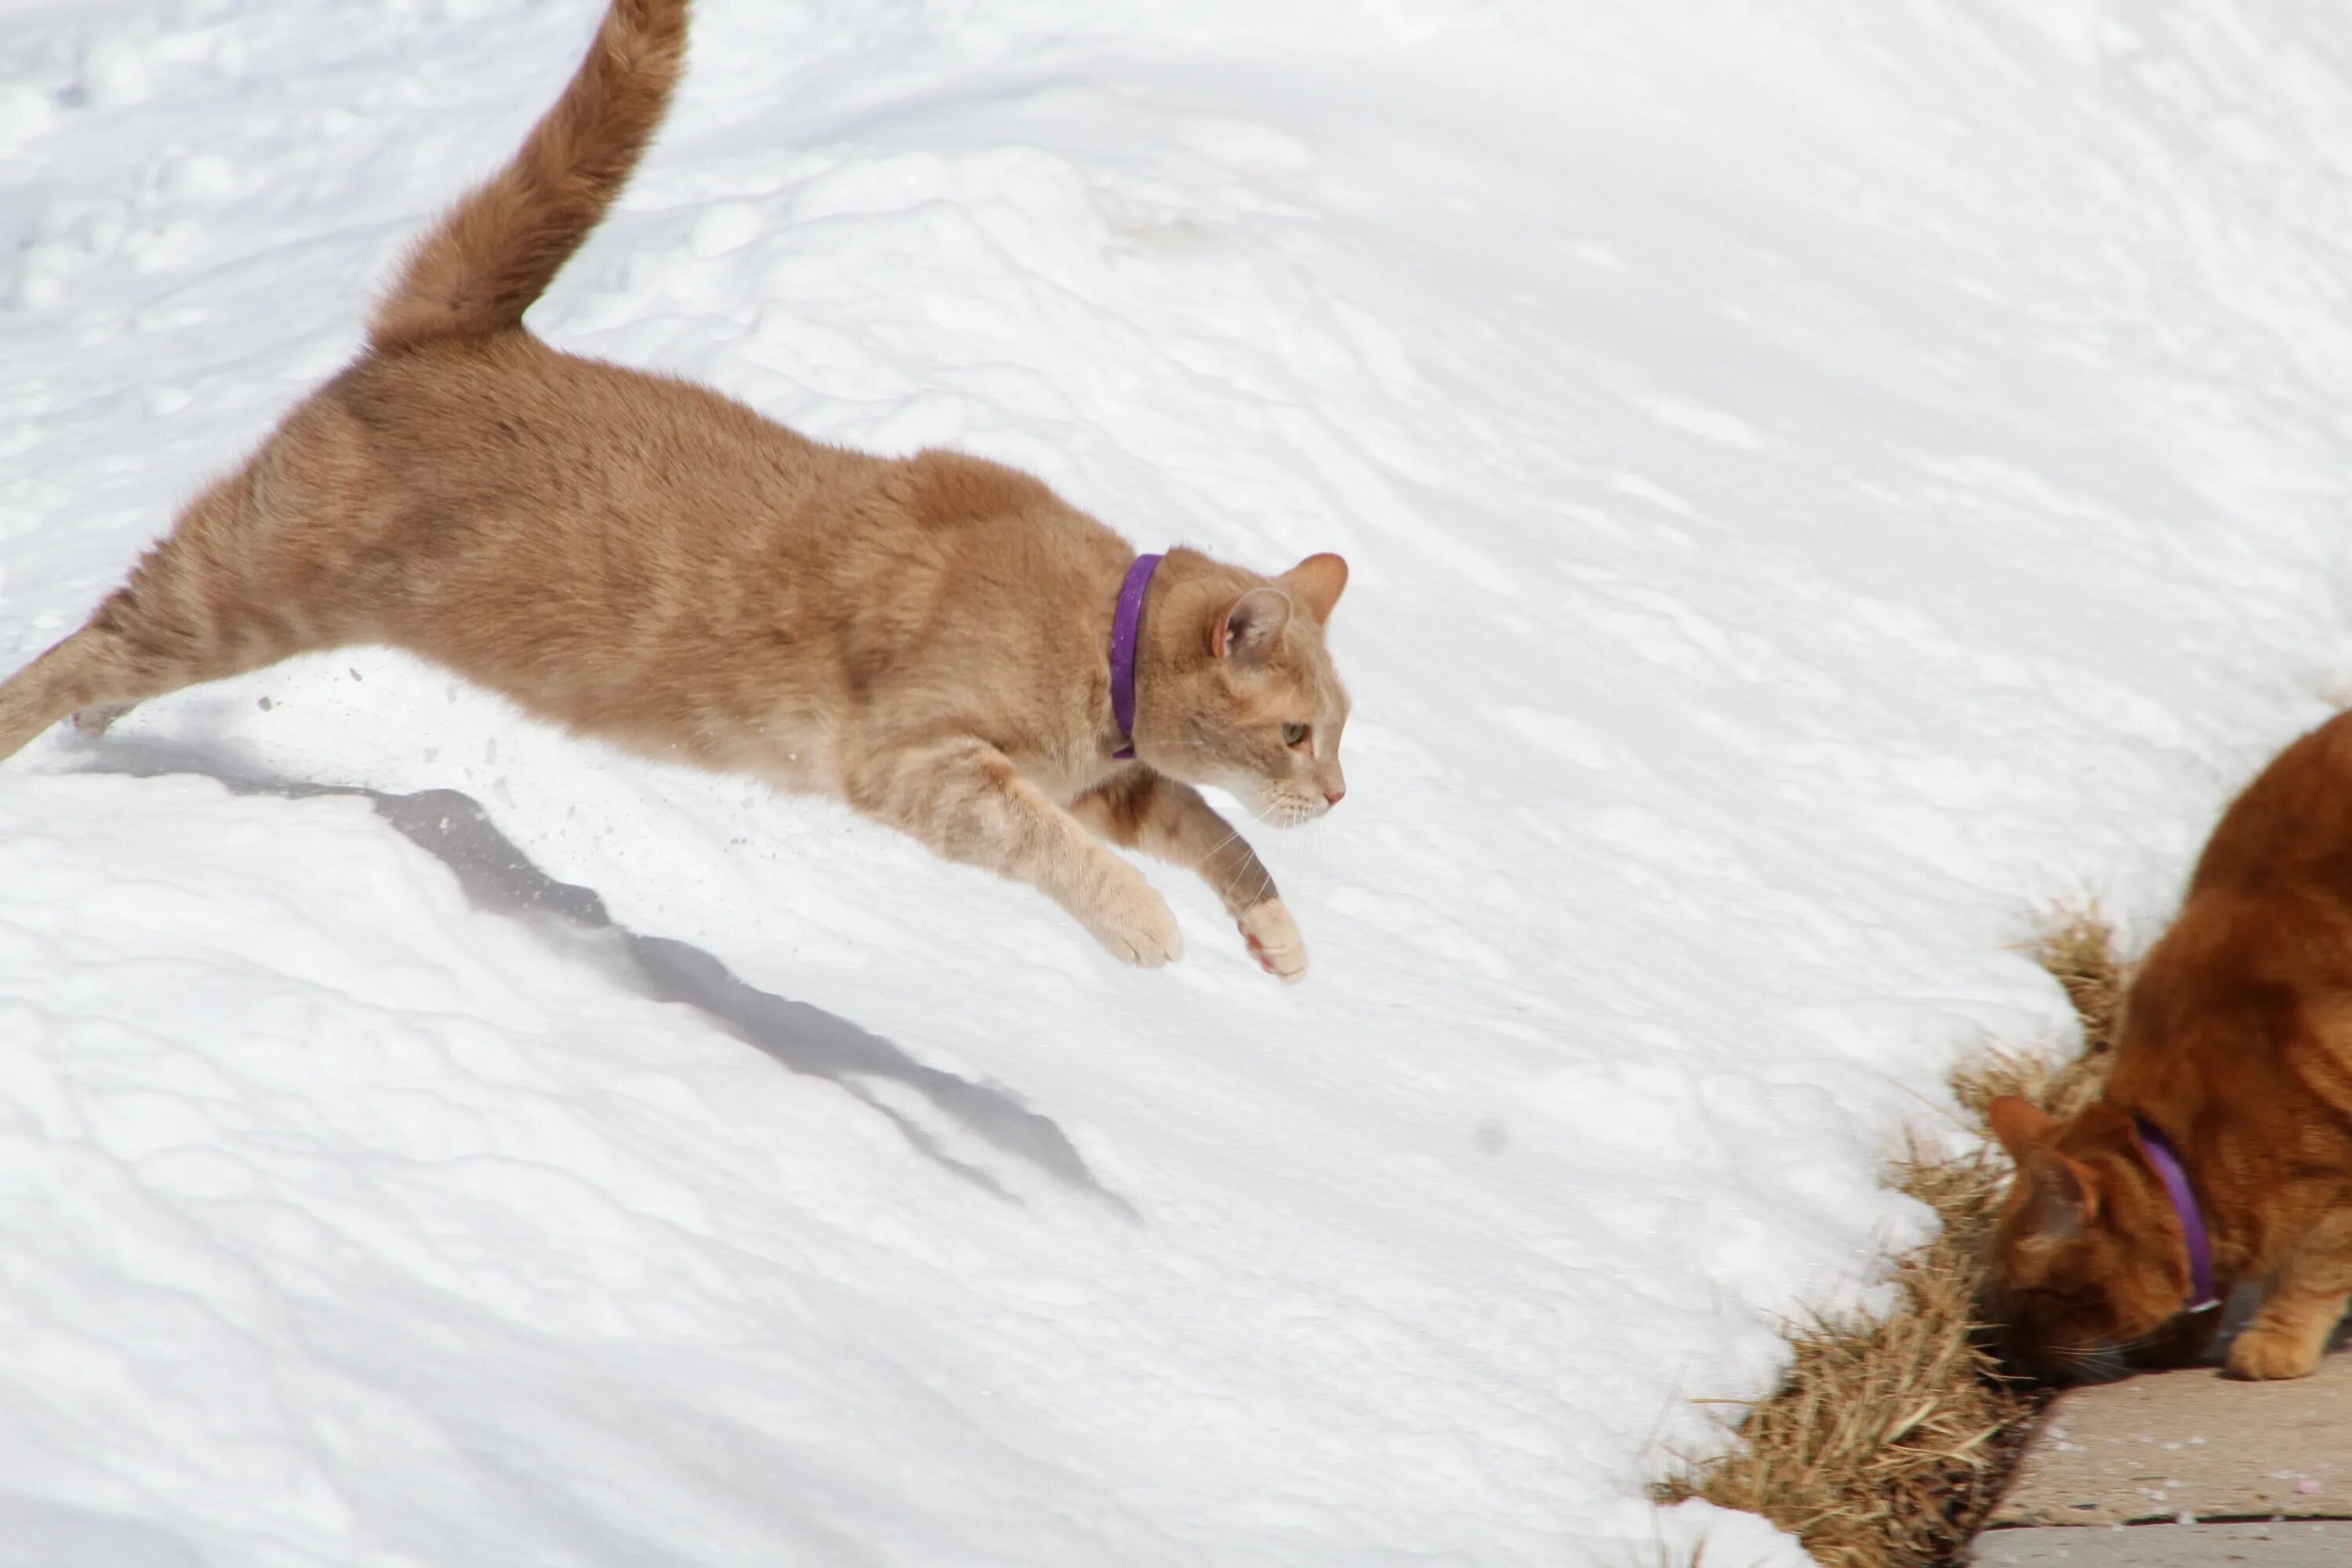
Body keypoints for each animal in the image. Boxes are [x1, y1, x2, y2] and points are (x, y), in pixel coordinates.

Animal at [0, 0, 1355, 982]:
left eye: (1338, 733)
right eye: (1298, 734)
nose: (1339, 796)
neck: (1096, 634)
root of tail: (461, 331)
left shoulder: (1107, 781)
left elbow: (1213, 829)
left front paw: (1278, 932)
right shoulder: (924, 767)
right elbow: (1066, 848)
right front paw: (1144, 926)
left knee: (107, 655)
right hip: (249, 587)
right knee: (88, 643)